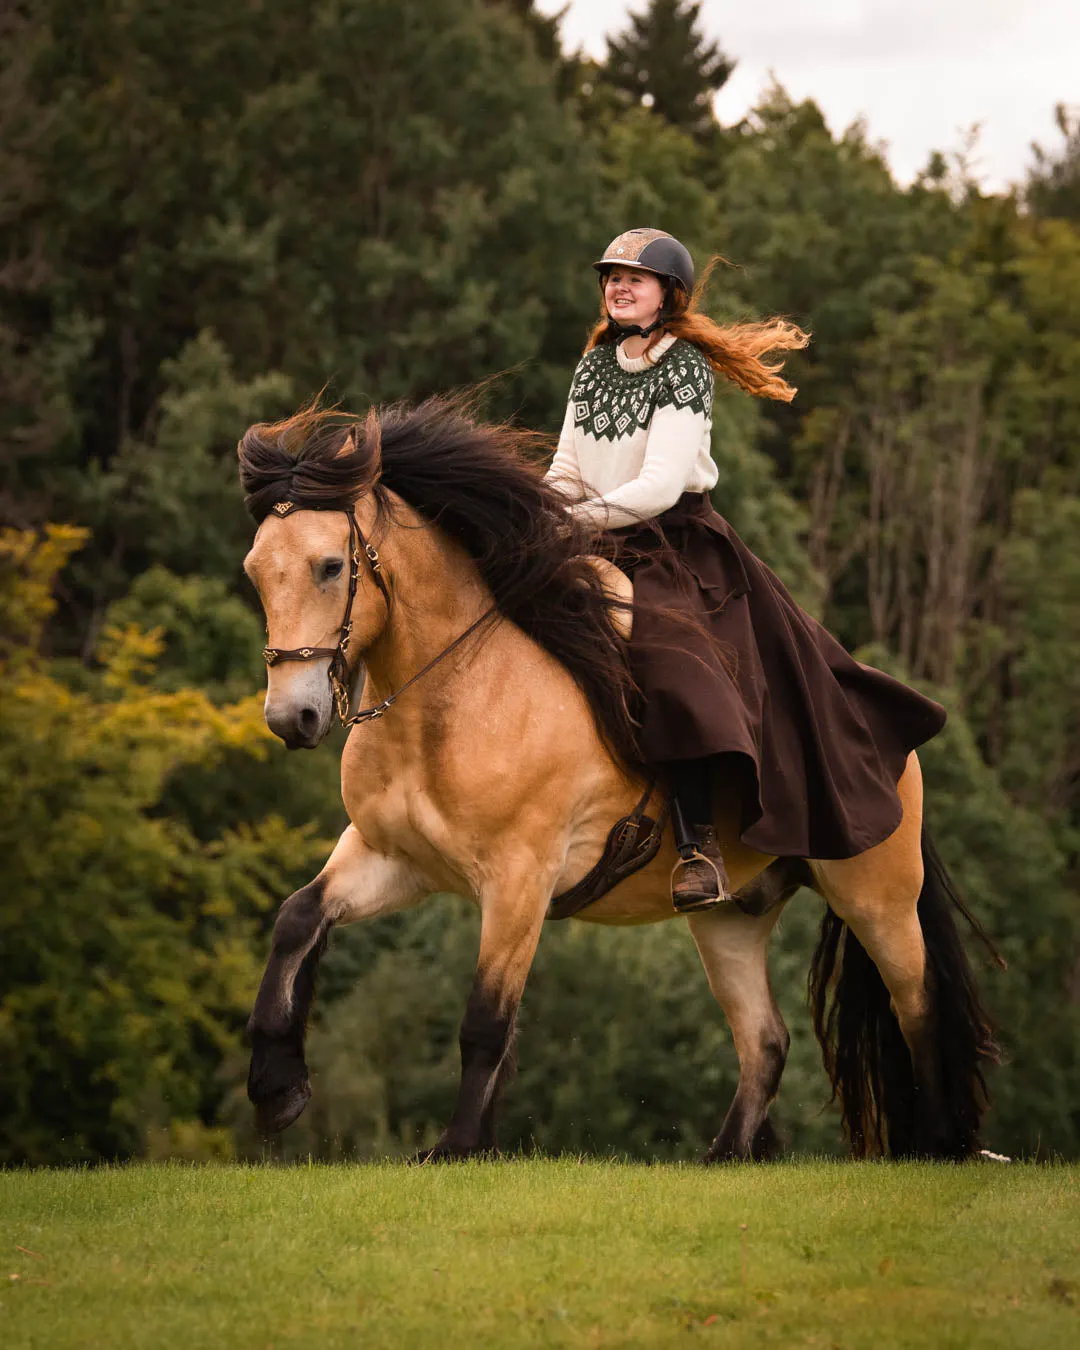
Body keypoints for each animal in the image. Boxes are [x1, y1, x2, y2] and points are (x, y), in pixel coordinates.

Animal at [238, 396, 993, 1161]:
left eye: (330, 566)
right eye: (255, 570)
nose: (292, 717)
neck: (451, 697)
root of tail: (902, 750)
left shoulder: (519, 879)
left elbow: (487, 1022)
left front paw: (457, 1146)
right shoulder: (392, 858)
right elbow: (297, 919)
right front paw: (277, 1088)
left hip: (877, 900)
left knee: (918, 1008)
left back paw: (937, 1146)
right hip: (732, 916)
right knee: (767, 1041)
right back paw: (721, 1159)